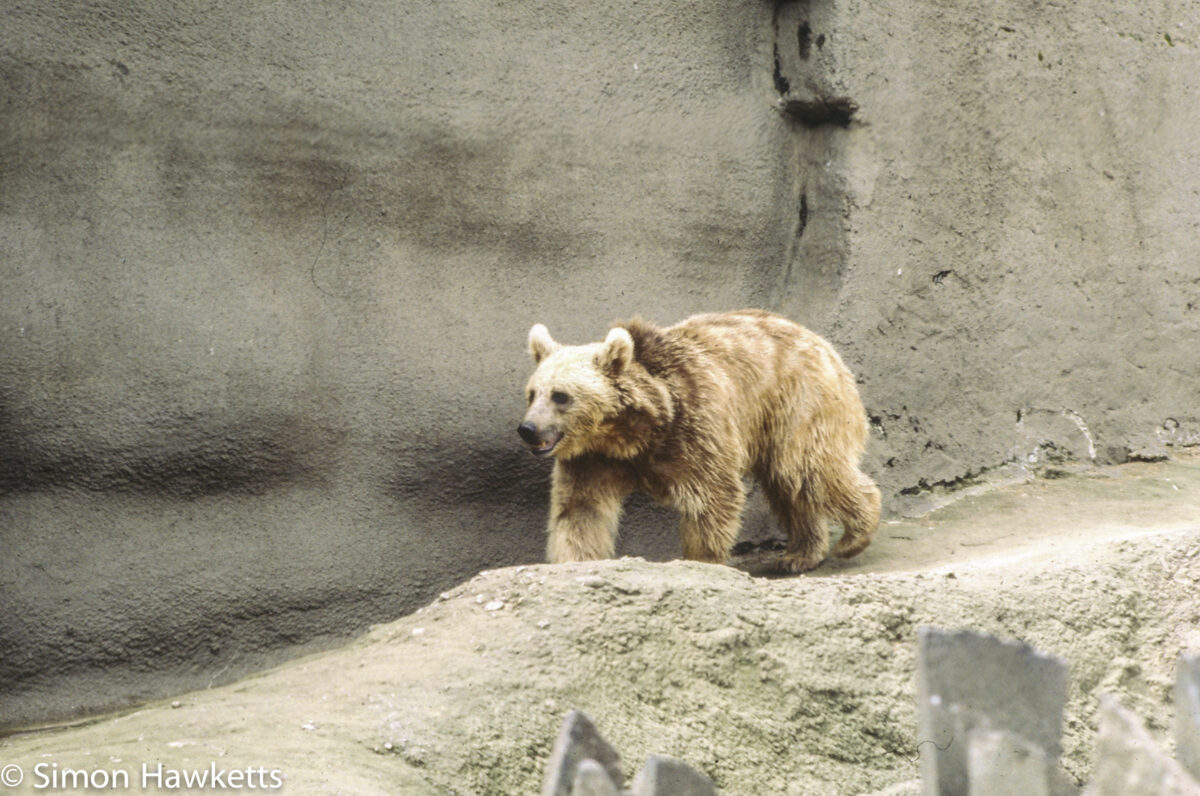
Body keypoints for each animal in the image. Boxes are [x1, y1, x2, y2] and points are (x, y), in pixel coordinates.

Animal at [517, 309, 881, 573]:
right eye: (532, 393)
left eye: (561, 396)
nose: (528, 428)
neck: (633, 433)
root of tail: (822, 343)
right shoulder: (593, 459)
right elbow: (579, 511)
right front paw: (575, 563)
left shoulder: (695, 427)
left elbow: (711, 497)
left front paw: (701, 561)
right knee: (787, 484)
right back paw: (801, 554)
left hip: (798, 403)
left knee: (808, 468)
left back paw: (855, 535)